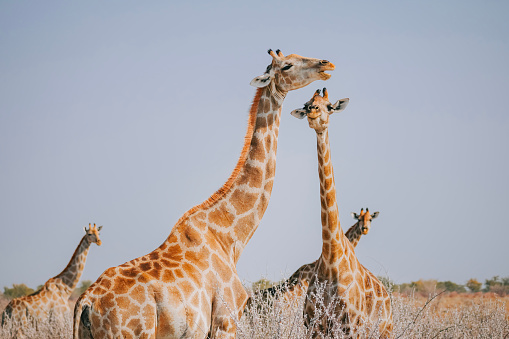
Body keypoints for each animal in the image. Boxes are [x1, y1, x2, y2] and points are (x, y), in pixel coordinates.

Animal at [71, 49, 334, 338]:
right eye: (287, 65)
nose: (326, 64)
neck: (229, 236)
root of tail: (86, 301)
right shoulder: (225, 322)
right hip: (133, 333)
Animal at [290, 89, 392, 338]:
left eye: (329, 106)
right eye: (306, 104)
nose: (312, 112)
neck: (331, 255)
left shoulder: (349, 326)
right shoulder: (313, 325)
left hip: (385, 331)